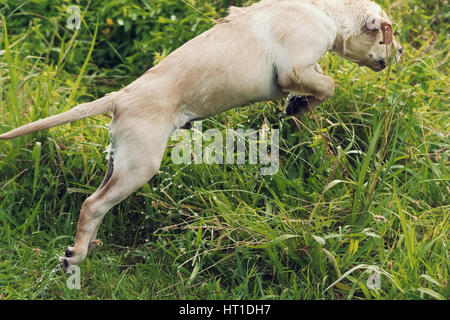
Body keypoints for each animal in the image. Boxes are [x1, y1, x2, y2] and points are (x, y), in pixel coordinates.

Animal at [0, 0, 400, 272]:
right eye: (387, 37)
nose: (398, 53)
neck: (326, 12)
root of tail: (120, 98)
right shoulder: (293, 68)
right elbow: (327, 85)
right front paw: (299, 105)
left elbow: (319, 87)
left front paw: (298, 104)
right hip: (139, 166)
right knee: (92, 205)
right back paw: (76, 256)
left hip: (119, 162)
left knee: (94, 201)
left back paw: (78, 251)